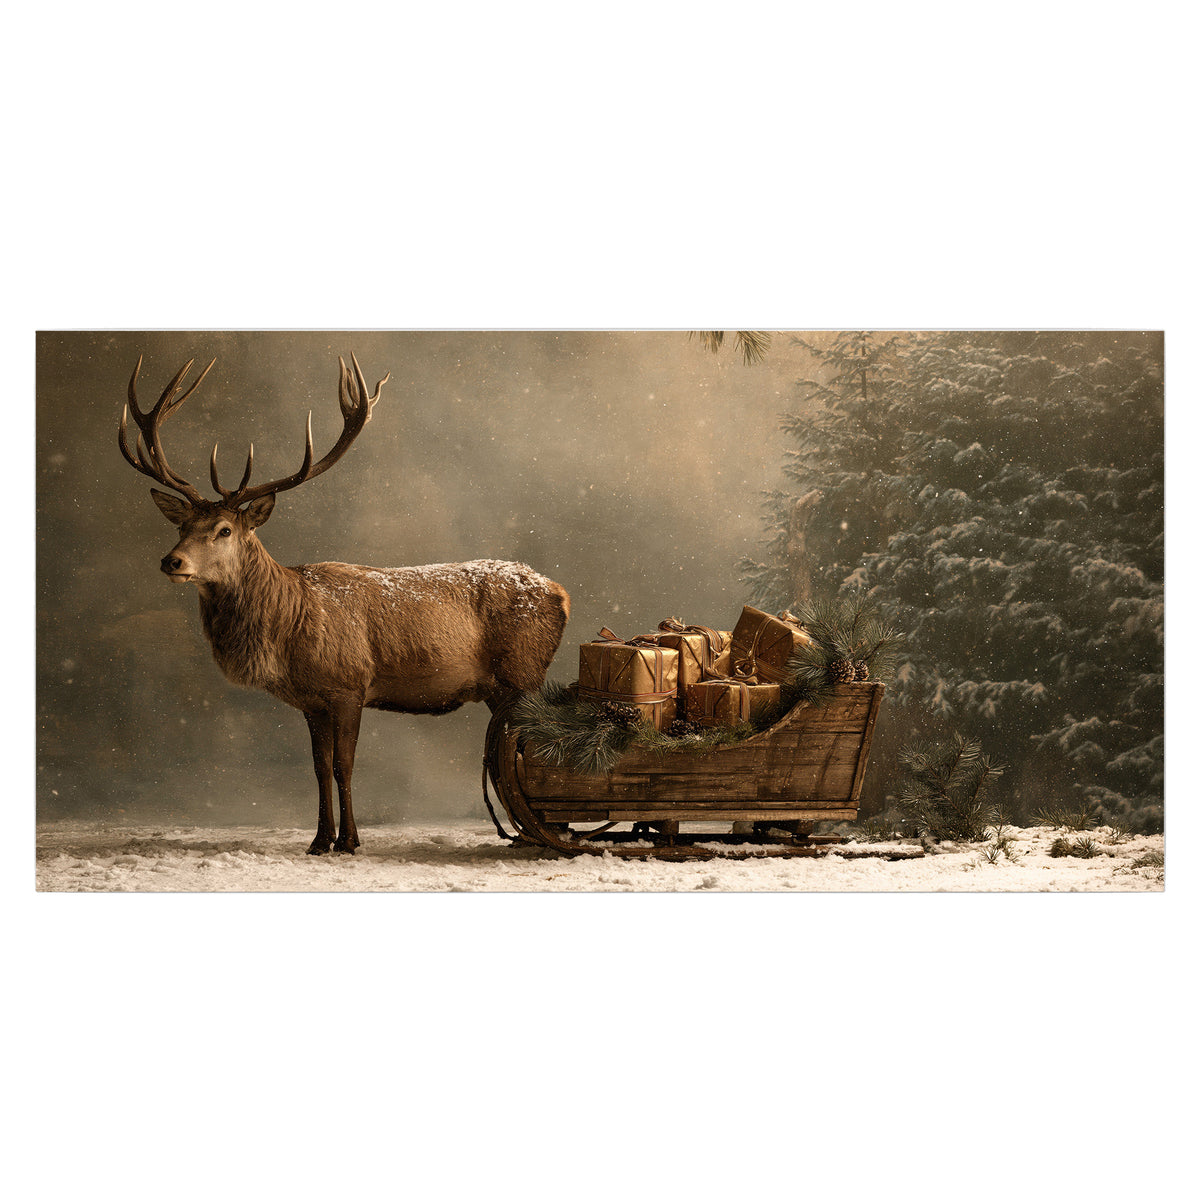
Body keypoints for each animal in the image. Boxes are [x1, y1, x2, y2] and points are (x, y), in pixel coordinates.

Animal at [118, 353, 571, 854]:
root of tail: (561, 593)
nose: (171, 560)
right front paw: (319, 840)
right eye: (182, 526)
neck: (289, 629)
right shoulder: (311, 700)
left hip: (524, 670)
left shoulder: (350, 684)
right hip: (499, 687)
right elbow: (318, 769)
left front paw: (350, 840)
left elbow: (343, 765)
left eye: (224, 530)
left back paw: (539, 836)